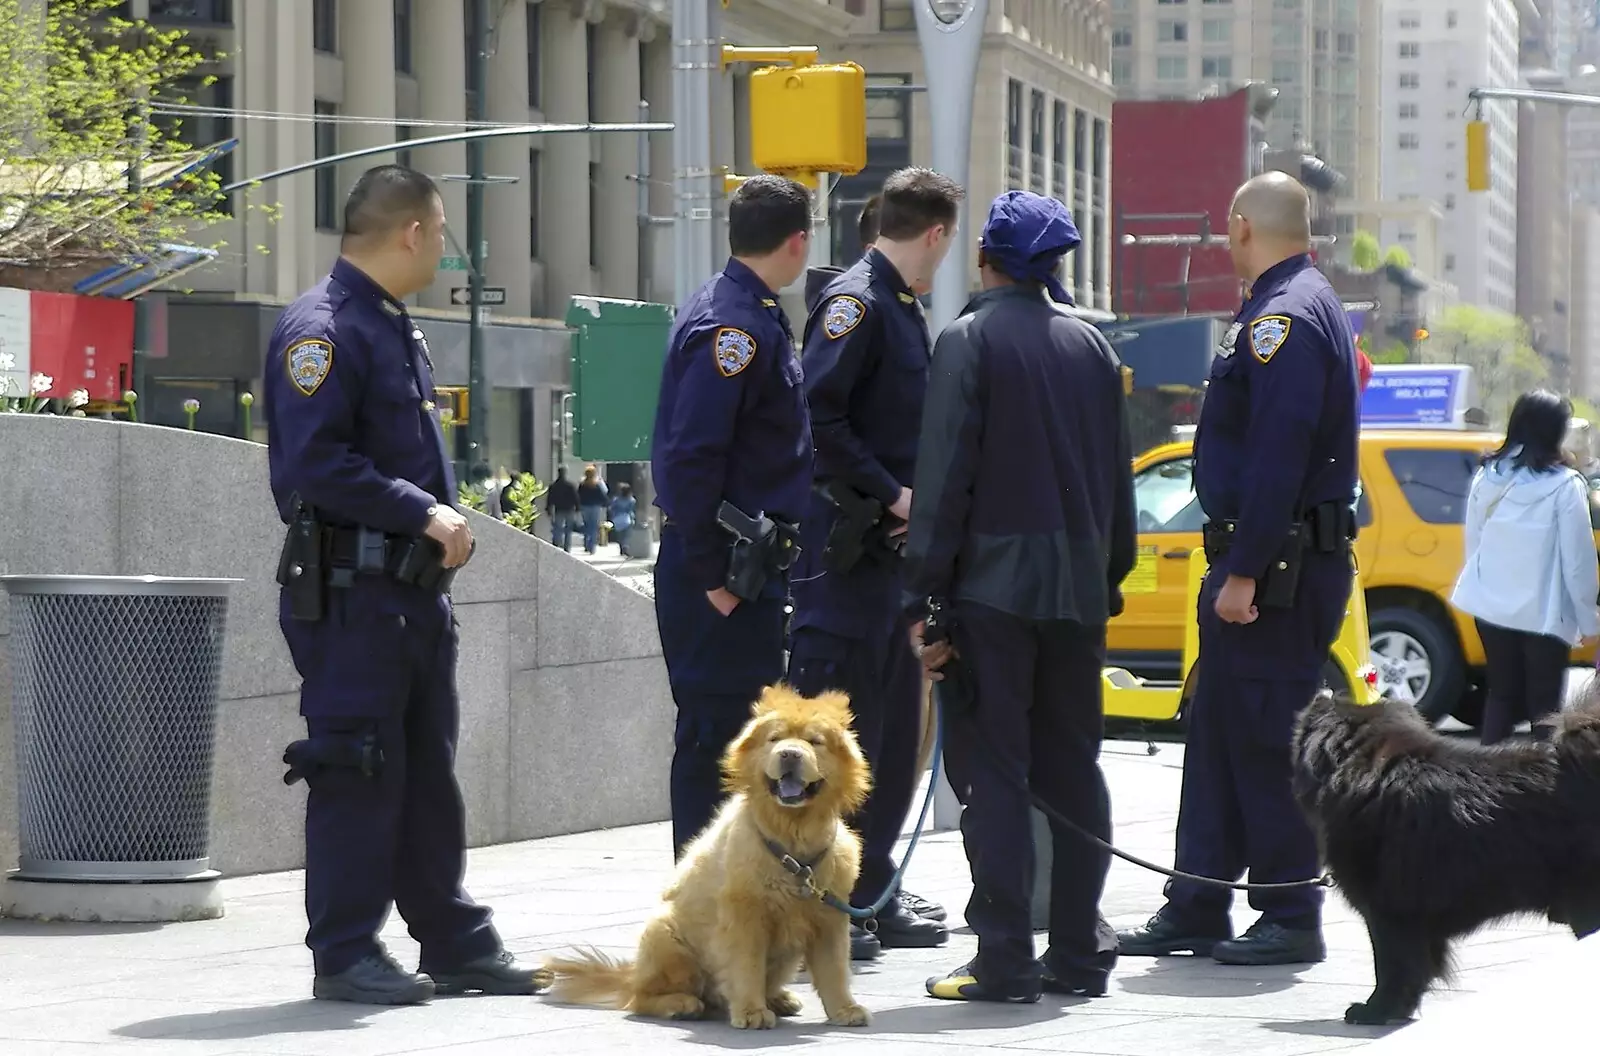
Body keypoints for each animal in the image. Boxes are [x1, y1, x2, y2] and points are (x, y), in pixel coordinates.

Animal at [547, 684, 876, 1030]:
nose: (789, 754)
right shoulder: (745, 916)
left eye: (814, 741)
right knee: (642, 998)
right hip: (665, 937)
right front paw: (751, 1013)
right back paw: (682, 1004)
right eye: (775, 738)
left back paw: (780, 998)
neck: (792, 841)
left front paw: (845, 1010)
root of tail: (631, 975)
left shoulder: (829, 917)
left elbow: (834, 970)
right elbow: (747, 967)